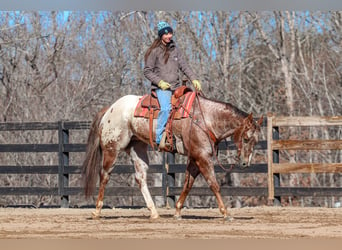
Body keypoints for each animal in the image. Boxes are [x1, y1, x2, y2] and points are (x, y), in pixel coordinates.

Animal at [81, 91, 264, 220]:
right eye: (246, 138)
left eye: (256, 141)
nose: (245, 163)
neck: (205, 119)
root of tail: (110, 109)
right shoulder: (202, 157)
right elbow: (214, 184)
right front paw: (226, 213)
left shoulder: (194, 158)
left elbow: (187, 184)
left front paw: (177, 211)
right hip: (111, 149)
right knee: (105, 175)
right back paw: (97, 211)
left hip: (137, 148)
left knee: (140, 178)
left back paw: (154, 212)